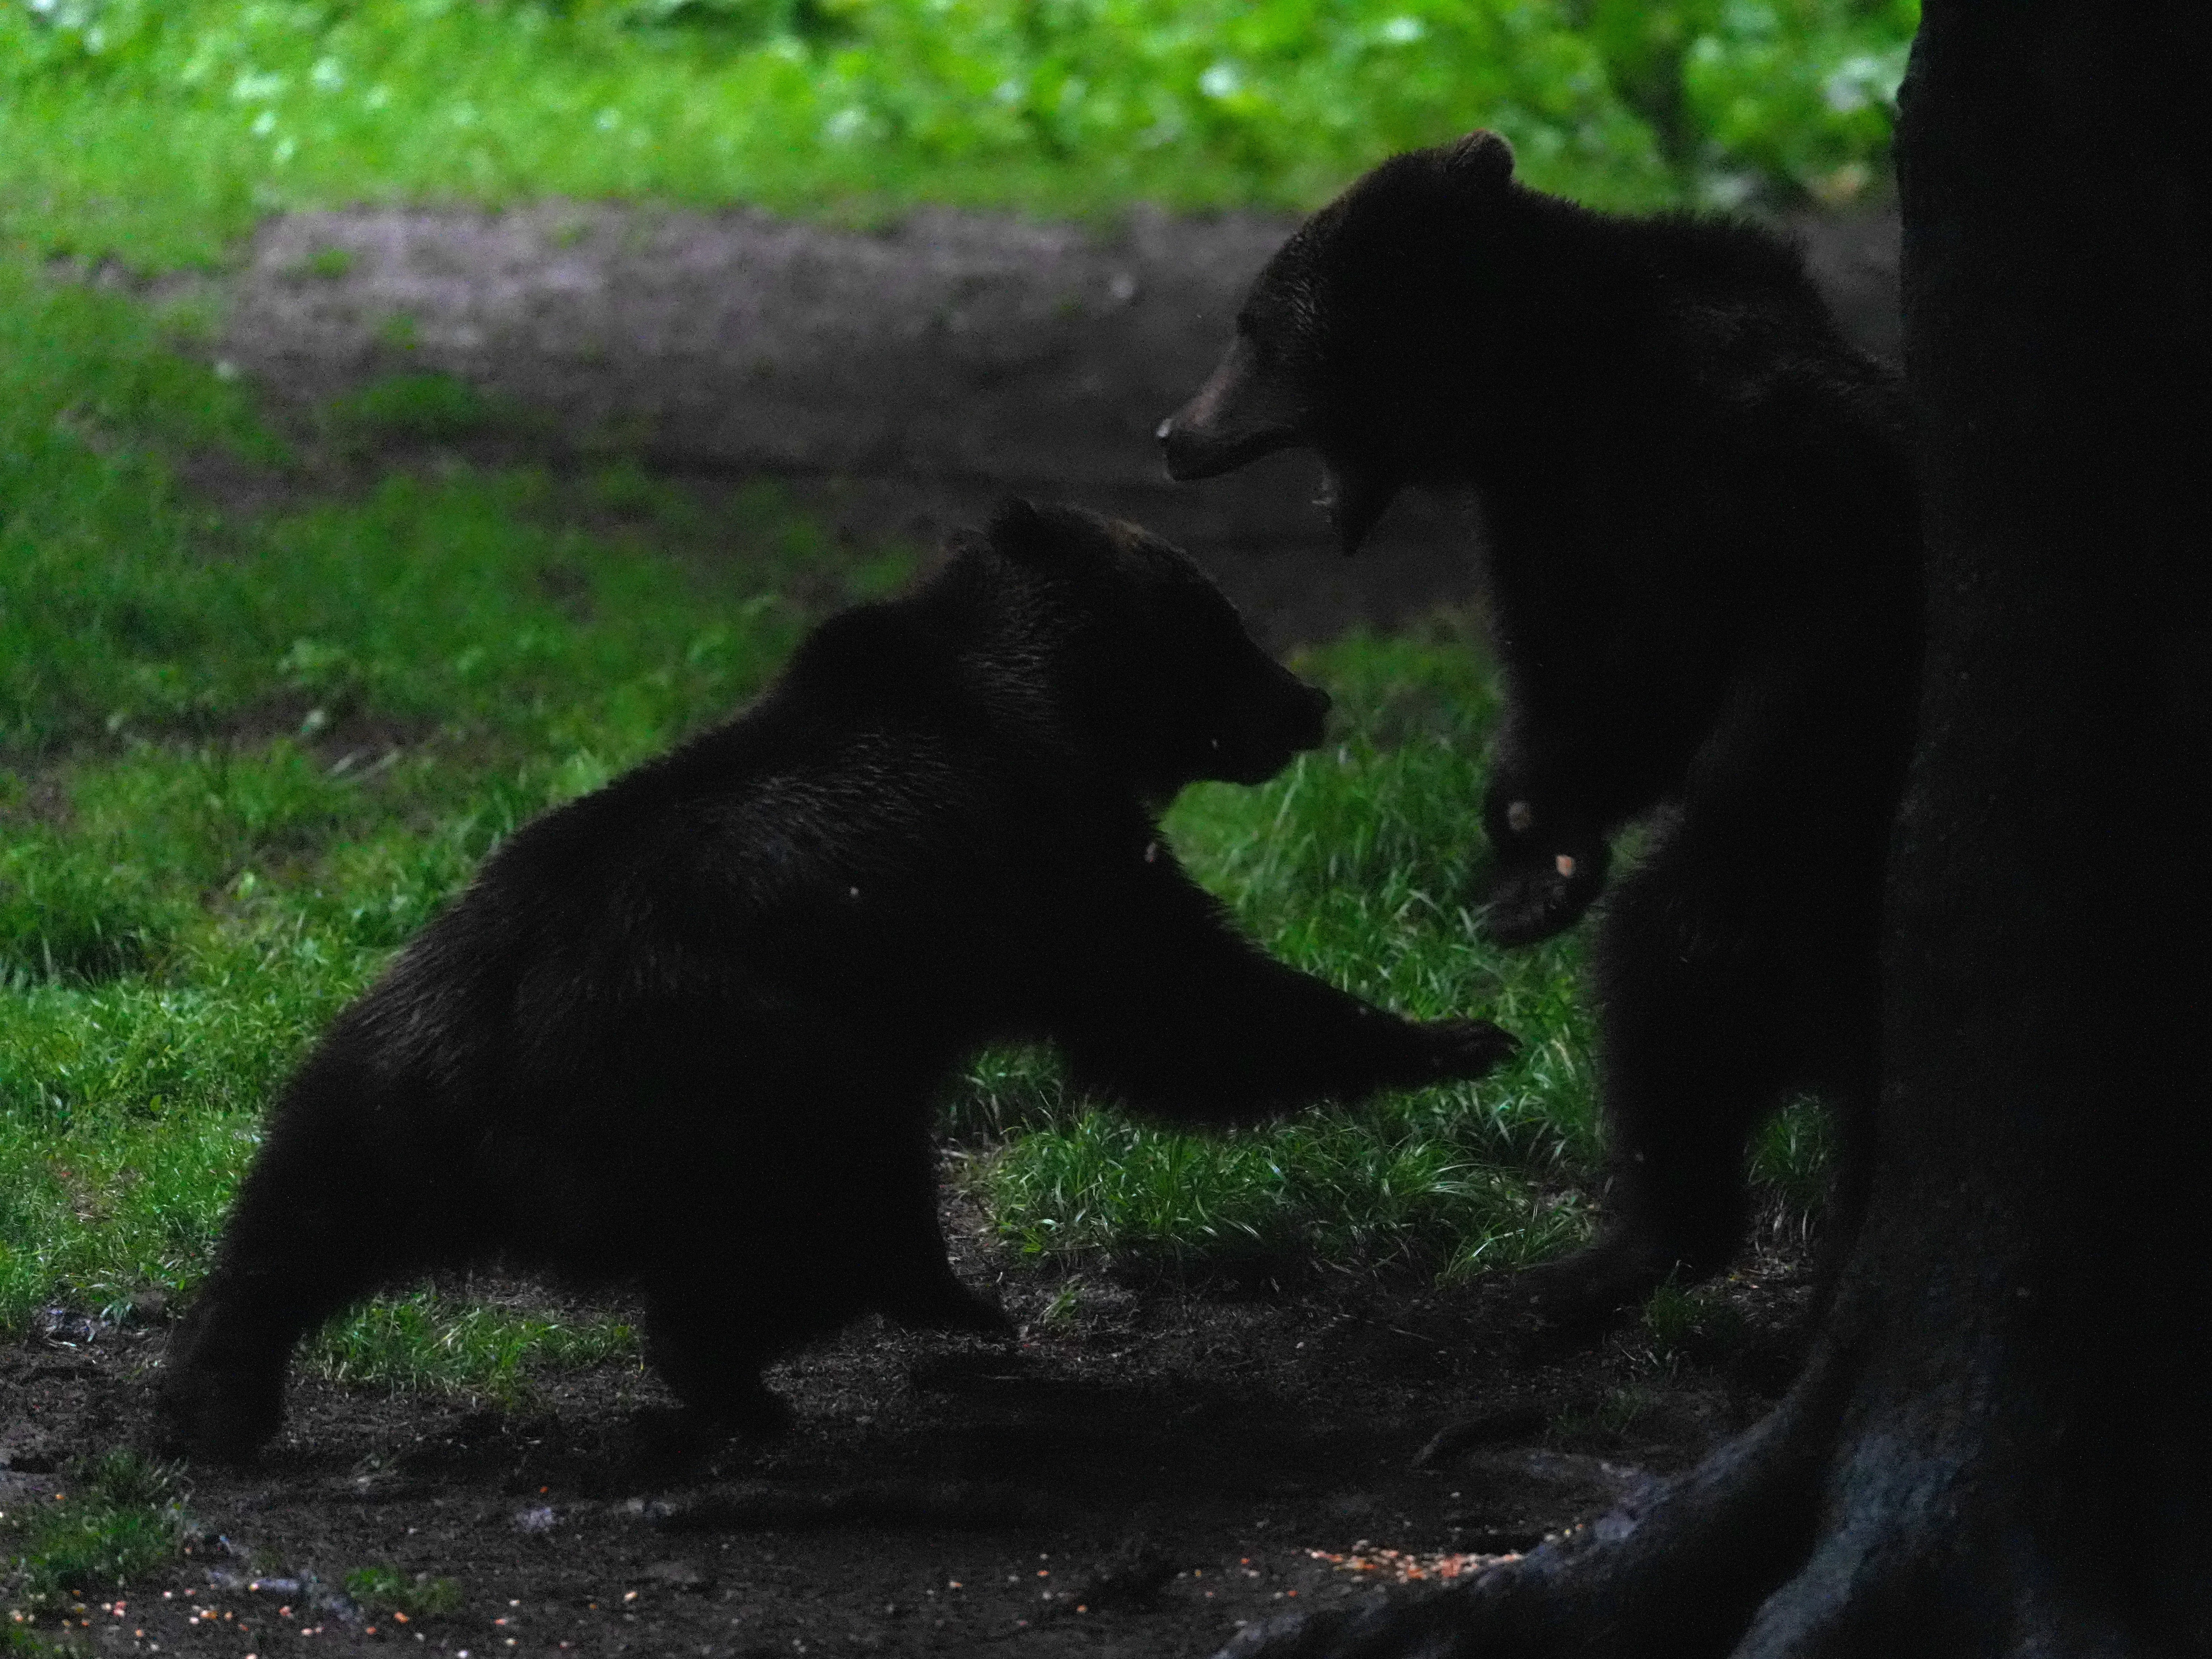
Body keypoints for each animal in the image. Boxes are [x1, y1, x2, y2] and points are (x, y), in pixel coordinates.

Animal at [157, 499, 1518, 1461]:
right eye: (1220, 623)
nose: (1311, 699)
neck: (1048, 695)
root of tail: (500, 1078)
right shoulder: (1058, 857)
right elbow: (1180, 1005)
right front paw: (1448, 1034)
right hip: (763, 1070)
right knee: (823, 1222)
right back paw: (881, 1323)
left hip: (381, 1064)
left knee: (293, 1221)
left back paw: (213, 1398)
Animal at [1158, 131, 1922, 1330]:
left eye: (1255, 328)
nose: (1172, 434)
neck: (1542, 385)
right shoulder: (1541, 515)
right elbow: (1581, 679)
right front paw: (1530, 851)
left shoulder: (1722, 482)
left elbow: (1684, 681)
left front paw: (1549, 851)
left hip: (1815, 877)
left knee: (1677, 967)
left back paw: (1622, 1250)